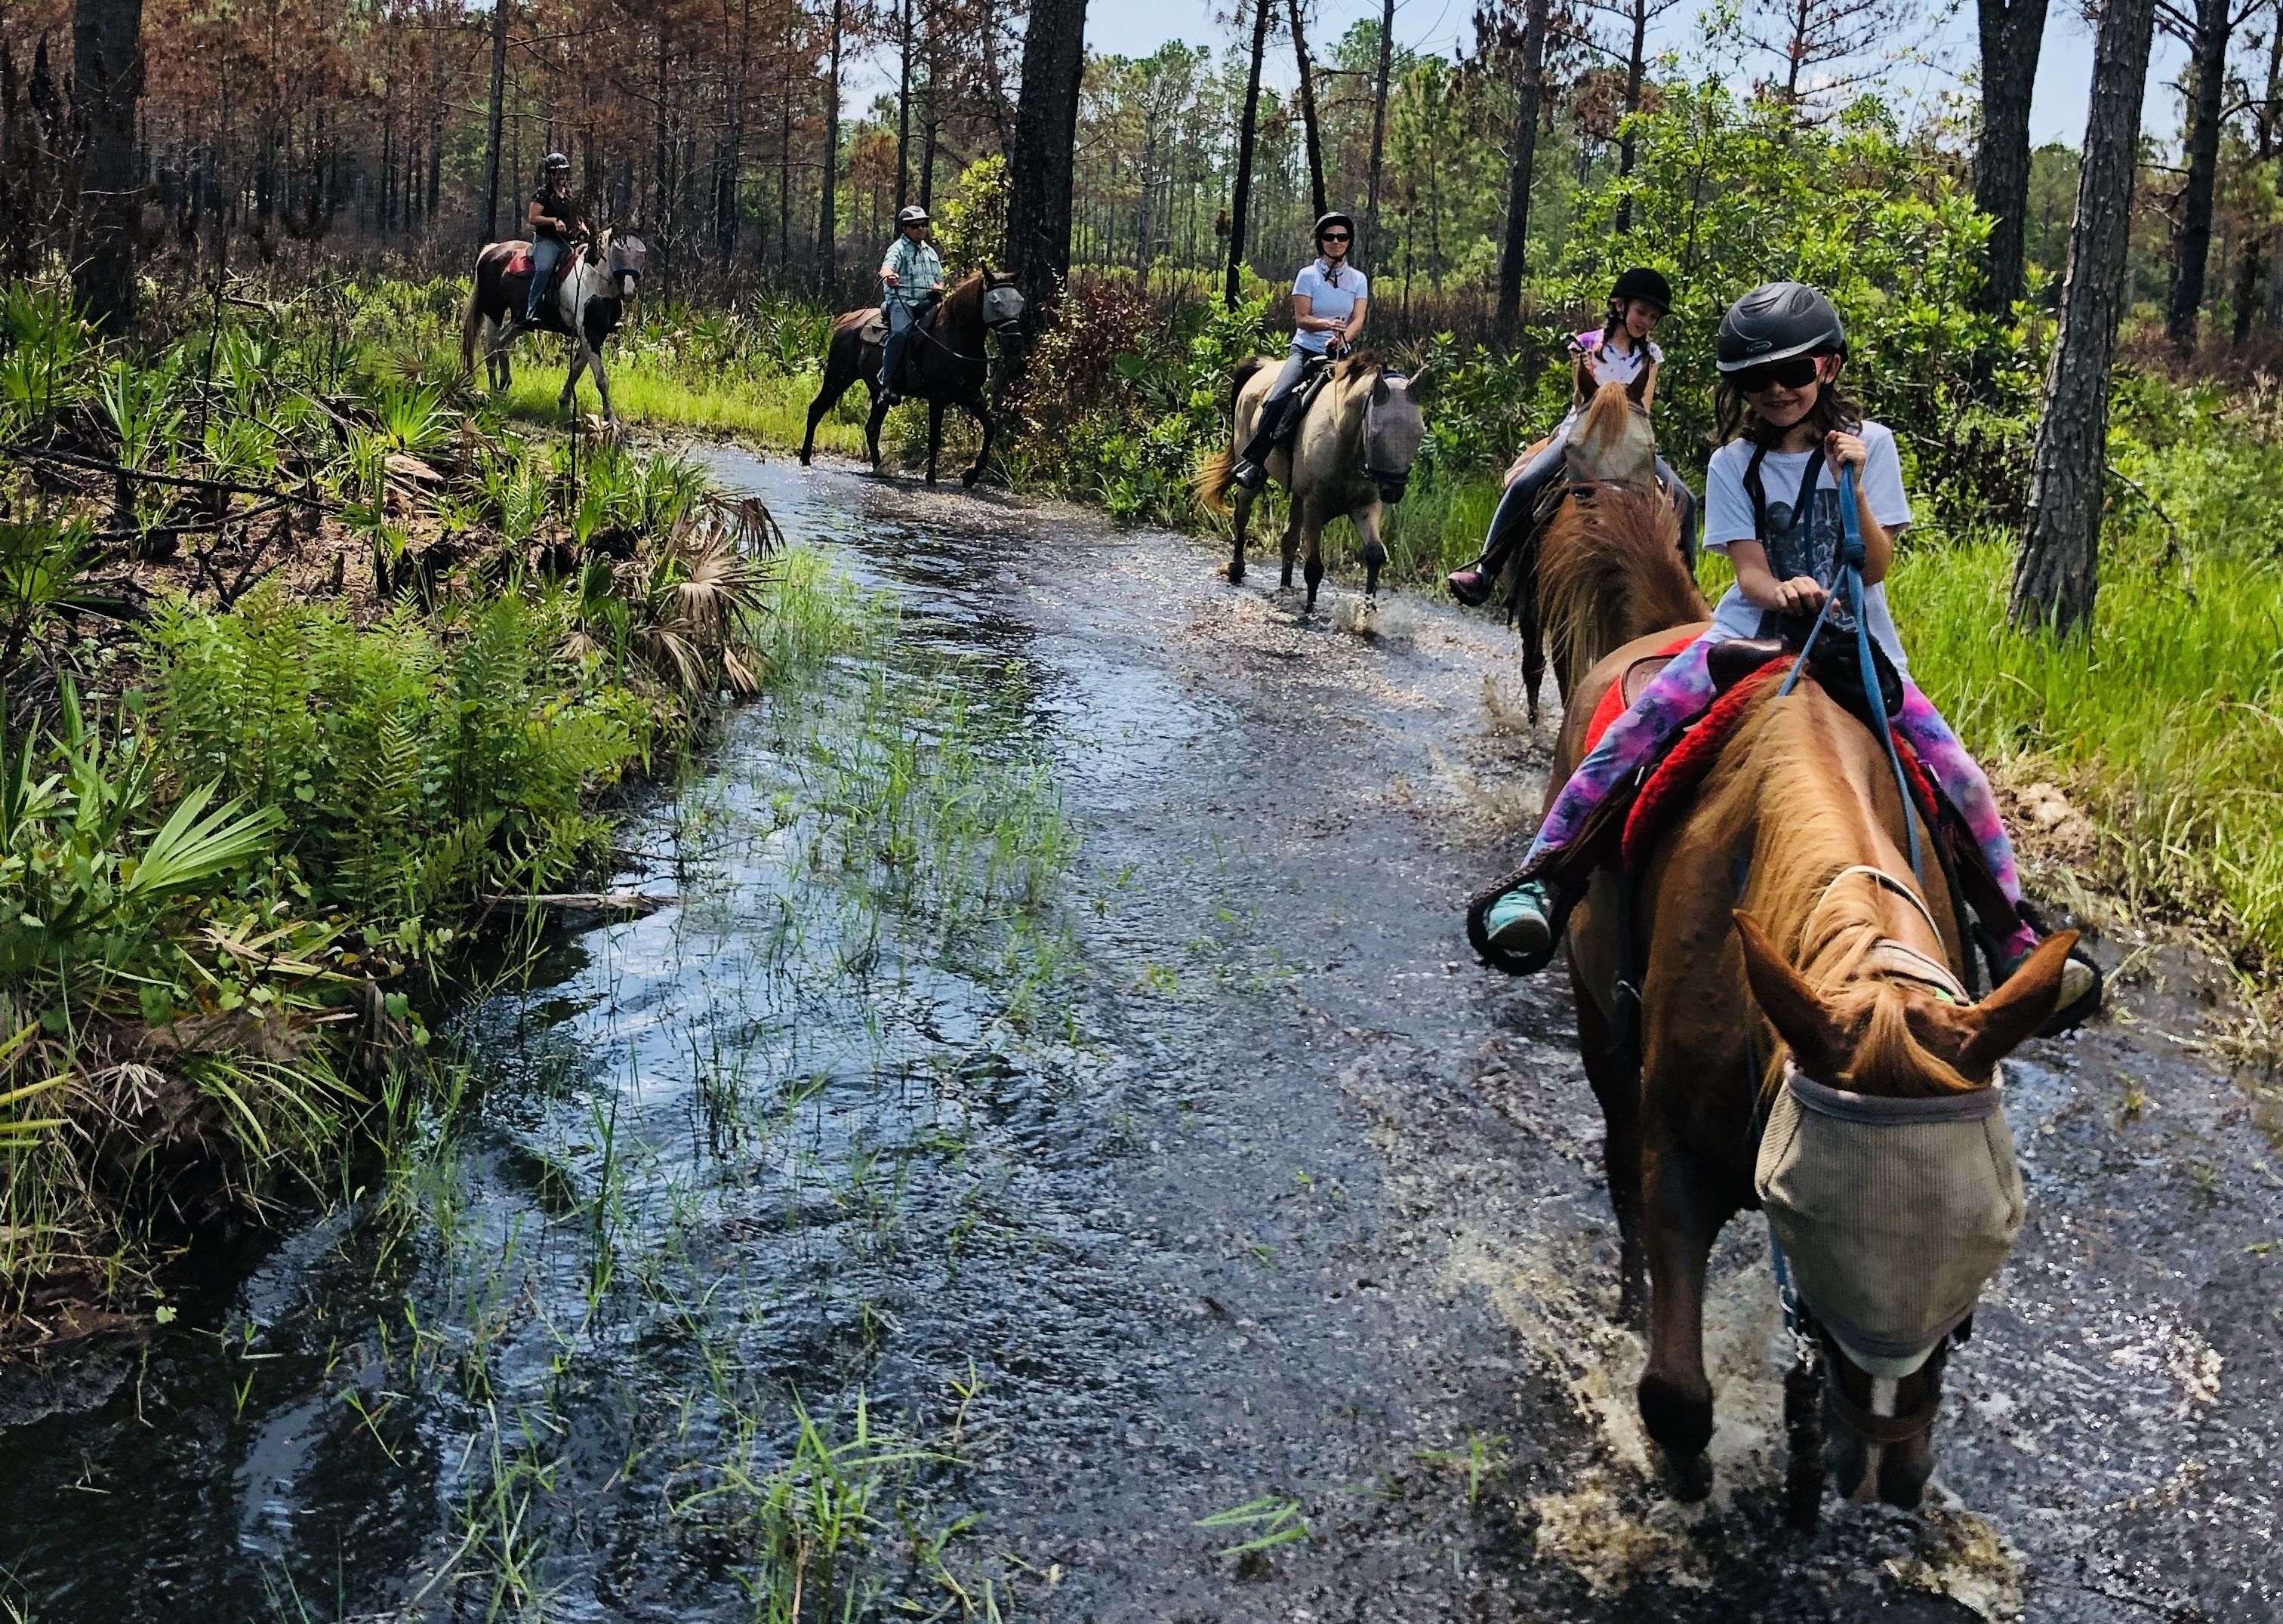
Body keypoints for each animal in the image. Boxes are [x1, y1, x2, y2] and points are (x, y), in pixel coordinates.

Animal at [458, 233, 648, 431]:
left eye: (641, 253)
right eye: (618, 251)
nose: (629, 291)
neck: (593, 280)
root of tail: (492, 250)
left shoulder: (596, 334)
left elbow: (577, 369)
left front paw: (564, 403)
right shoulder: (589, 333)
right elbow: (601, 378)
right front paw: (611, 418)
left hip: (520, 322)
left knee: (500, 343)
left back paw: (504, 384)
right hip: (494, 311)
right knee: (490, 346)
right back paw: (494, 391)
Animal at [794, 268, 1027, 488]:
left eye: (1019, 302)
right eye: (995, 301)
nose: (1015, 343)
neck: (954, 336)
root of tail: (847, 320)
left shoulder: (971, 396)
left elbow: (990, 428)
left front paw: (971, 477)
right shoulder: (937, 398)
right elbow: (934, 438)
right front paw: (931, 477)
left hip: (877, 391)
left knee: (872, 429)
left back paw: (879, 468)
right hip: (838, 377)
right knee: (816, 410)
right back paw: (805, 458)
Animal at [1543, 529, 2063, 1507]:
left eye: (1984, 1252)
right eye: (1820, 1235)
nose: (1886, 1466)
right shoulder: (1680, 1152)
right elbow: (1675, 1391)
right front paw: (1684, 1468)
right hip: (1598, 1024)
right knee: (1617, 1159)